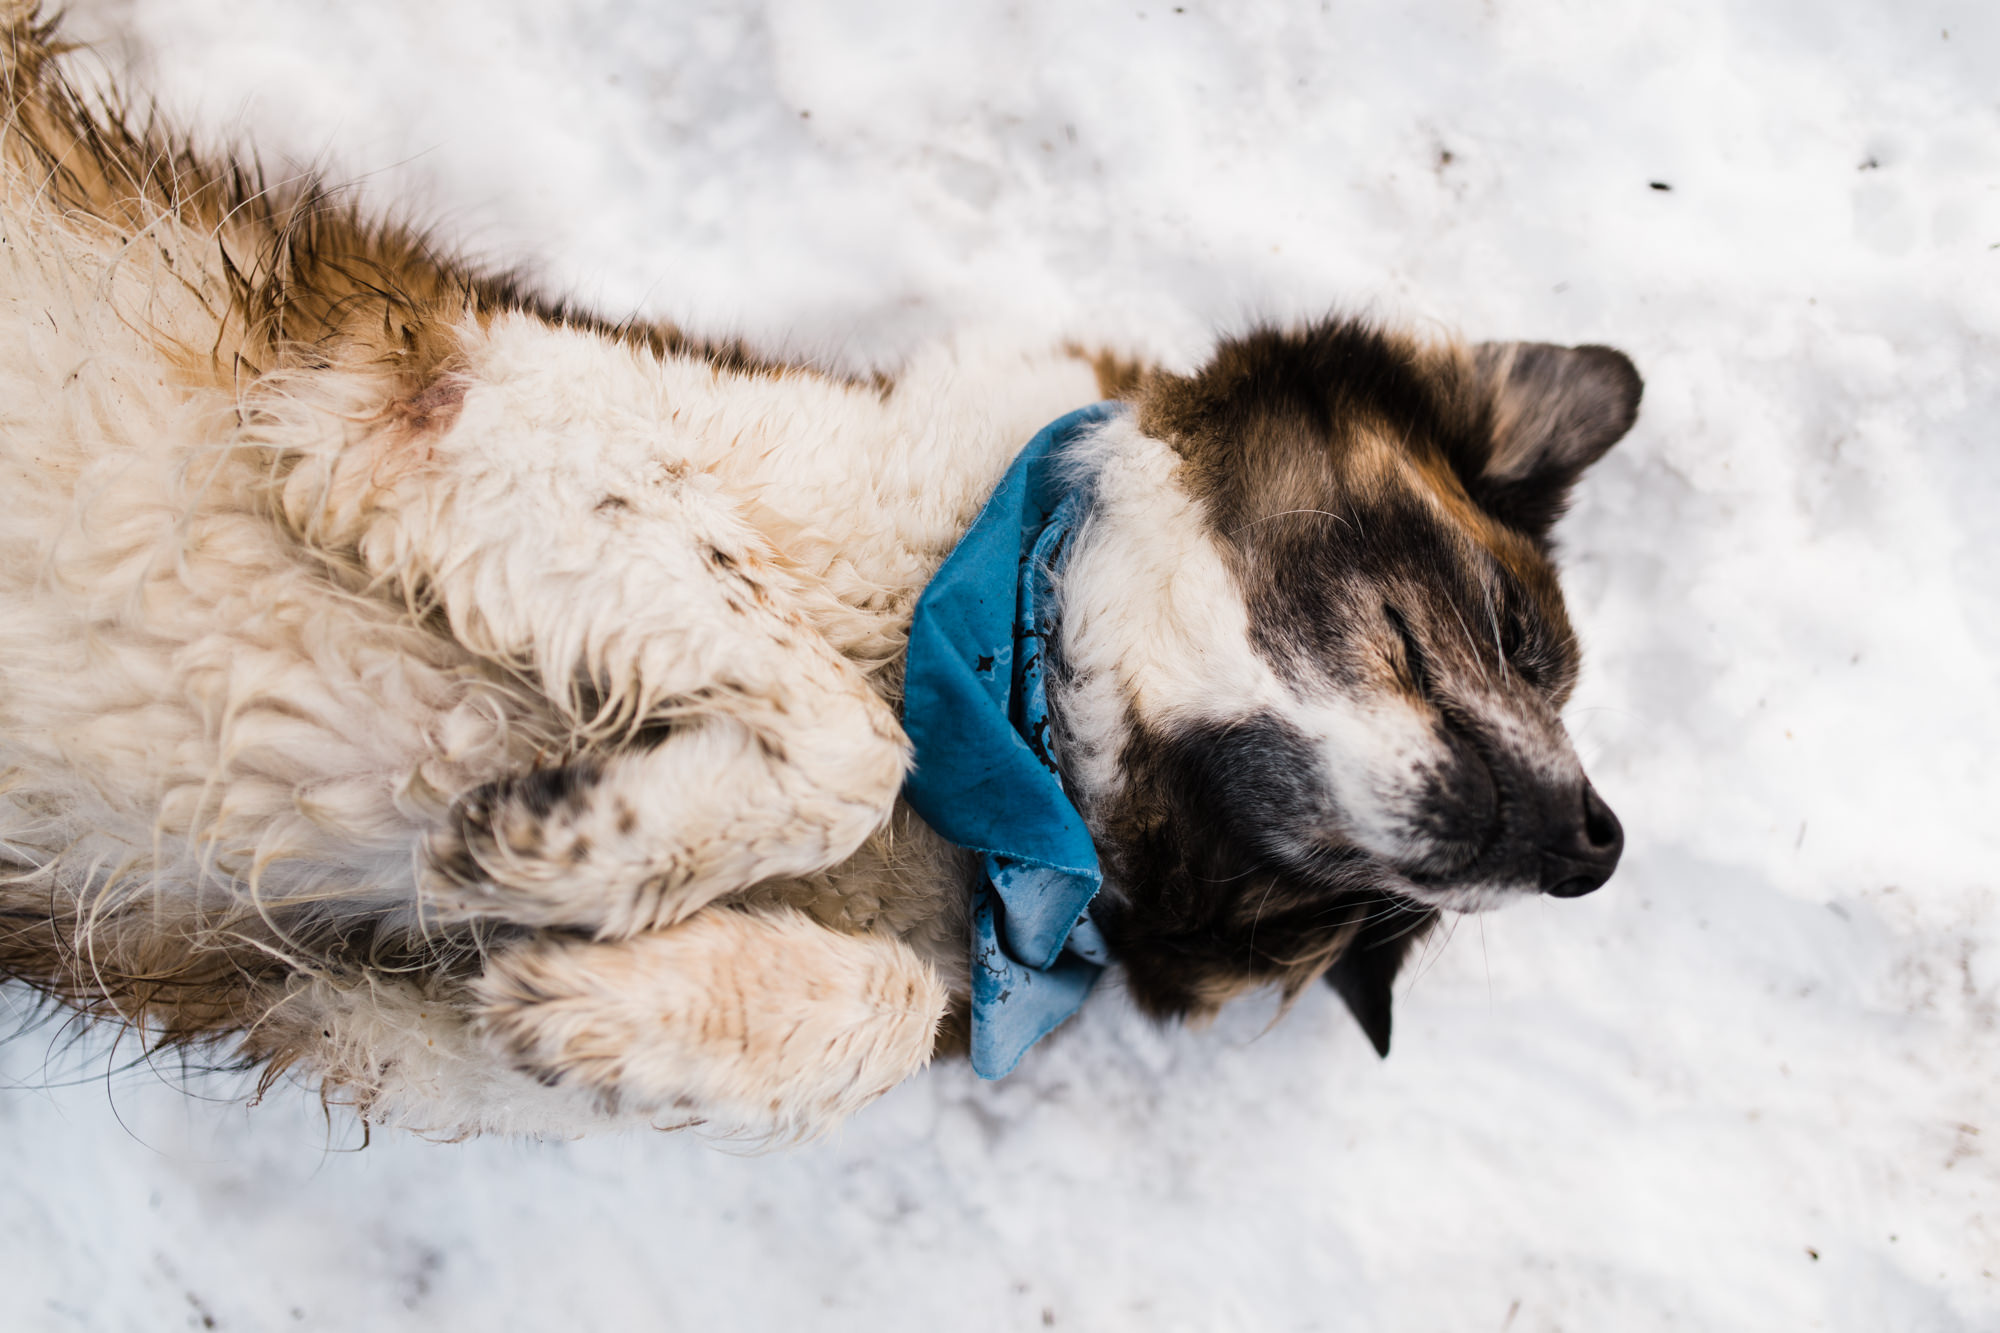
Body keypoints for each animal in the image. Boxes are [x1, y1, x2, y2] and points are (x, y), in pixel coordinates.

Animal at [0, 7, 1640, 1128]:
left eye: (1380, 929)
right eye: (1505, 627)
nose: (1595, 846)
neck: (1007, 743)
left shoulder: (349, 999)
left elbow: (878, 1014)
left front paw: (598, 991)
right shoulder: (440, 408)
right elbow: (850, 744)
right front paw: (572, 847)